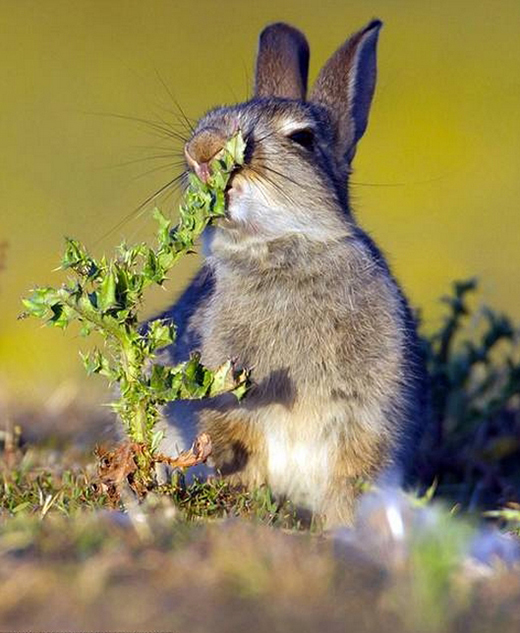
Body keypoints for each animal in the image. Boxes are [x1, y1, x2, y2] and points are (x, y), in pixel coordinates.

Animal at [154, 19, 426, 524]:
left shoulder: (365, 418)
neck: (278, 250)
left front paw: (340, 527)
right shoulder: (228, 407)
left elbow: (350, 477)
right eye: (209, 117)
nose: (200, 151)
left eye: (301, 138)